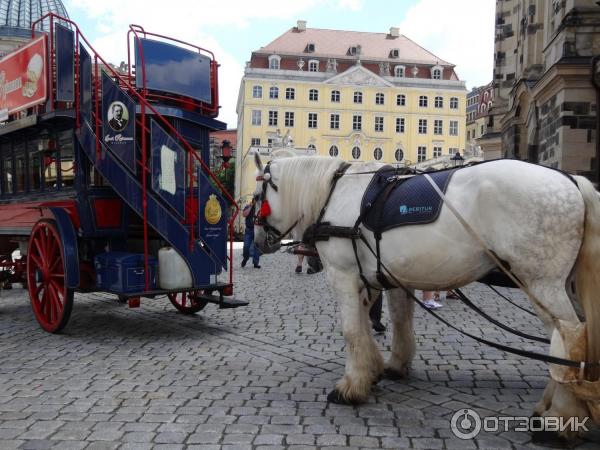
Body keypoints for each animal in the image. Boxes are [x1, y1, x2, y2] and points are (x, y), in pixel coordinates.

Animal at [251, 156, 600, 436]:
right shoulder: (384, 278)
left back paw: (560, 417)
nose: (258, 239)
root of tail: (570, 179)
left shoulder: (343, 275)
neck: (335, 194)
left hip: (541, 285)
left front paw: (351, 387)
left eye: (256, 198)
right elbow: (389, 322)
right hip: (563, 287)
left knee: (568, 339)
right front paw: (382, 368)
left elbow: (352, 330)